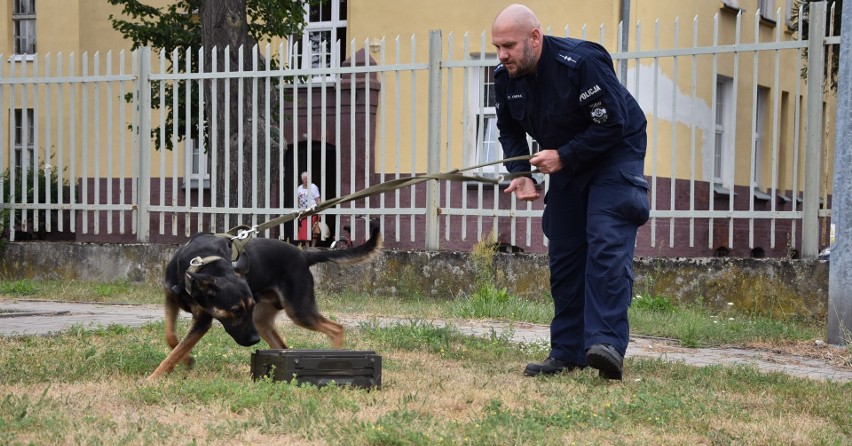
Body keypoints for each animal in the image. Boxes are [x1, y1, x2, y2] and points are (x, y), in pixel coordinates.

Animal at [148, 226, 382, 380]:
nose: (254, 341)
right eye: (235, 310)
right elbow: (171, 338)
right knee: (283, 347)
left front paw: (154, 378)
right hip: (263, 320)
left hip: (298, 311)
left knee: (336, 328)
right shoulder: (170, 299)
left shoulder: (203, 321)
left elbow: (176, 348)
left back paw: (337, 358)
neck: (201, 263)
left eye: (247, 307)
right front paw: (185, 360)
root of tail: (305, 255)